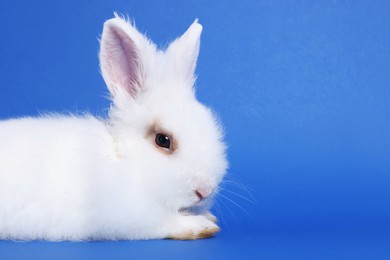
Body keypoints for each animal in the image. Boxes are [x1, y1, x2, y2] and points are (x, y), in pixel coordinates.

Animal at [0, 14, 229, 242]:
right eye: (163, 140)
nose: (205, 190)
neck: (127, 163)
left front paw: (206, 215)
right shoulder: (127, 214)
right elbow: (162, 221)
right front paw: (199, 225)